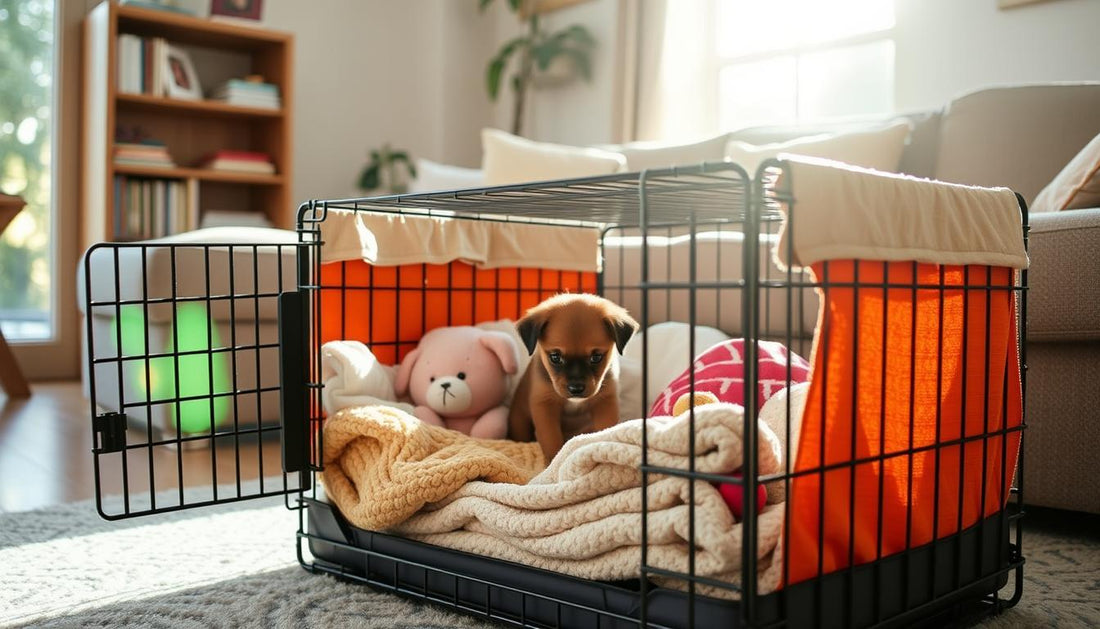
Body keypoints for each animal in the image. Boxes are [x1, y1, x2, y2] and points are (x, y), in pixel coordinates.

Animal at [503, 294, 638, 461]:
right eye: (555, 357)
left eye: (596, 357)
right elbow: (552, 440)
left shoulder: (605, 403)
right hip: (519, 422)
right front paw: (554, 462)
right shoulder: (545, 406)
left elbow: (604, 430)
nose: (576, 388)